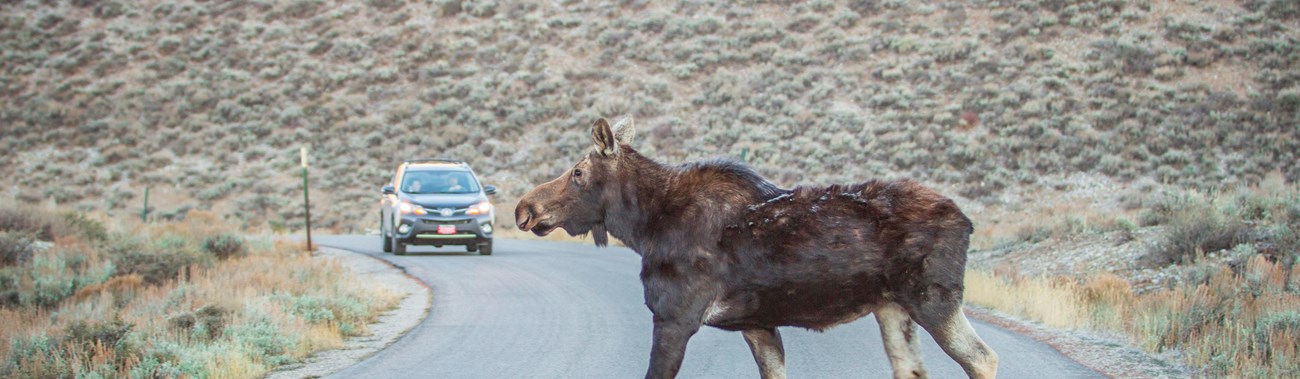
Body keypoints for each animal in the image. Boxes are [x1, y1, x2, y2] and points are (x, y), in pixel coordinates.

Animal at [512, 116, 998, 379]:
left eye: (578, 172)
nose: (524, 208)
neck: (644, 227)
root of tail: (967, 221)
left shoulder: (675, 317)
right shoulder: (757, 324)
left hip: (933, 298)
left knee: (983, 358)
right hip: (892, 307)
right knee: (913, 367)